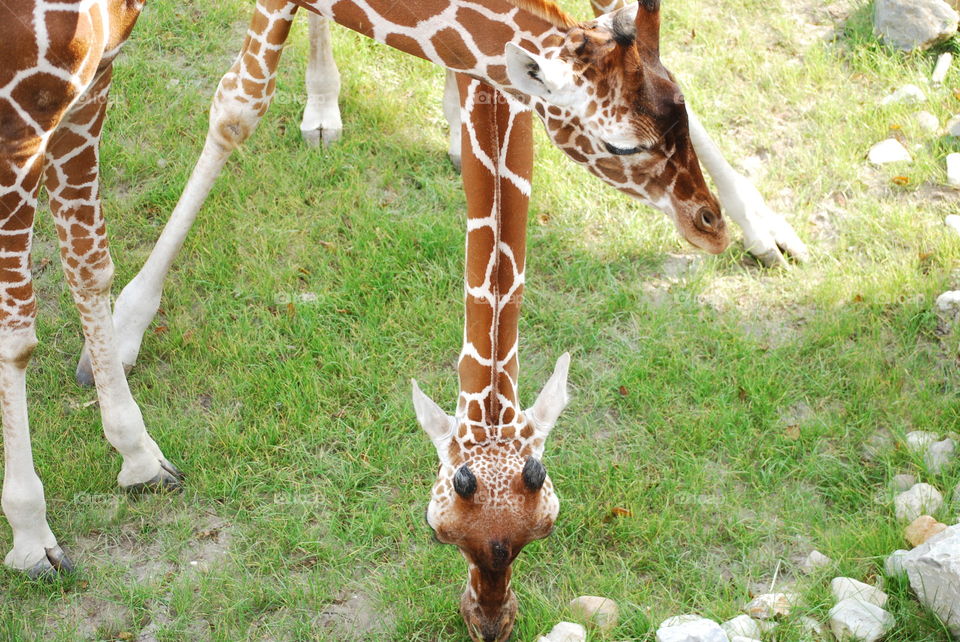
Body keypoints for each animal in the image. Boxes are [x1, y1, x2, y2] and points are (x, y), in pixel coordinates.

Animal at [0, 0, 182, 576]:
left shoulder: (89, 83)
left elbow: (89, 265)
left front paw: (139, 456)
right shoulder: (16, 129)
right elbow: (15, 337)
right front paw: (31, 536)